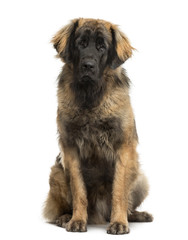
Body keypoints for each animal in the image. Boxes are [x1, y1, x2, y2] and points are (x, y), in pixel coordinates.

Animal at [43, 17, 153, 234]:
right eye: (81, 44)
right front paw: (77, 220)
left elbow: (119, 190)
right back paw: (65, 217)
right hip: (57, 173)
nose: (88, 65)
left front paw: (119, 222)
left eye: (102, 47)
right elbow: (79, 190)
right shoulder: (70, 149)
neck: (91, 97)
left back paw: (136, 215)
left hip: (140, 177)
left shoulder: (123, 147)